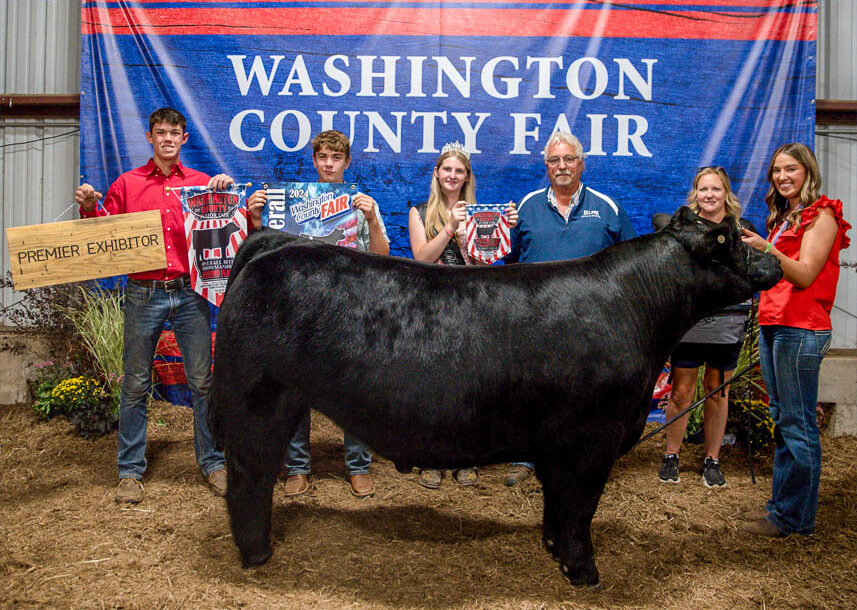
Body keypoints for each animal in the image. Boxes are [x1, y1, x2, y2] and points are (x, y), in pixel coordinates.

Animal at [209, 206, 782, 587]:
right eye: (732, 238)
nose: (775, 261)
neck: (636, 307)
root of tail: (274, 244)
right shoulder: (590, 441)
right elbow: (579, 510)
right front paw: (584, 573)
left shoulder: (561, 449)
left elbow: (559, 507)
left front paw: (552, 551)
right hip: (259, 401)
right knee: (248, 478)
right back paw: (257, 554)